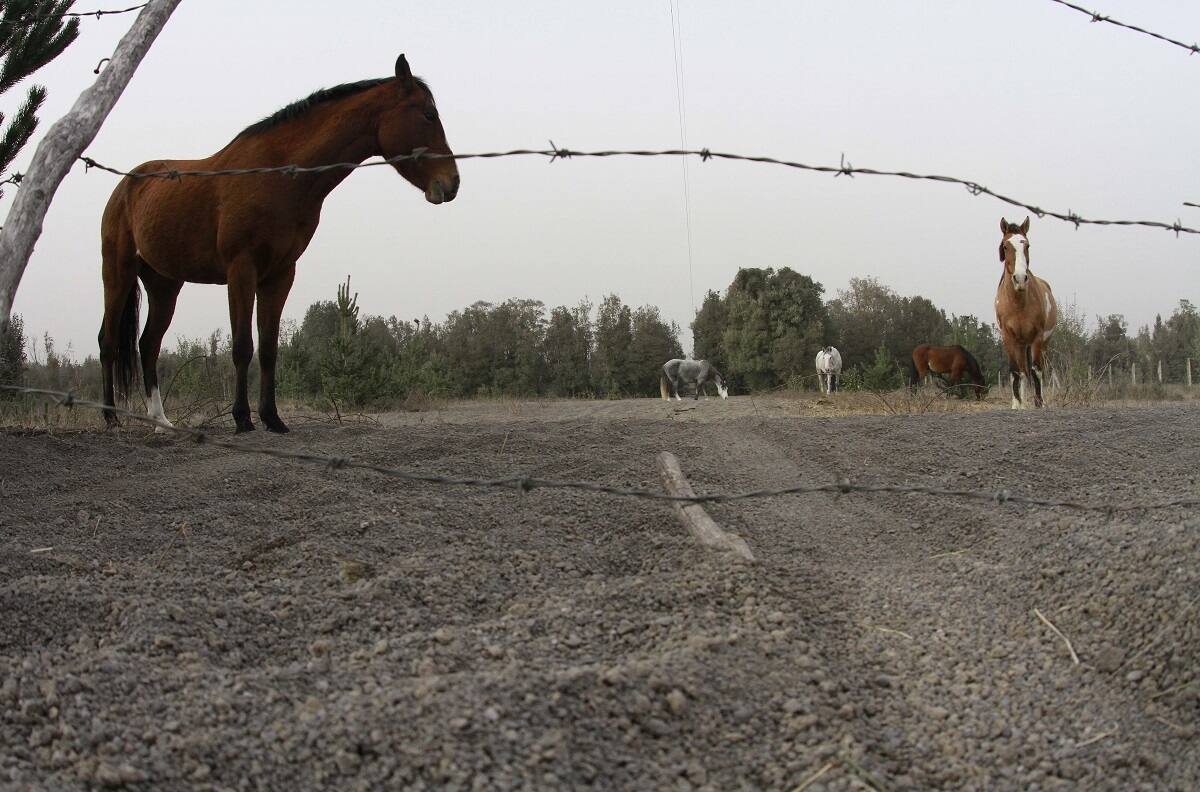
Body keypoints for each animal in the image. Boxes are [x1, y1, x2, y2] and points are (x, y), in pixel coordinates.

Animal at [99, 54, 459, 433]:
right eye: (428, 115)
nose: (451, 183)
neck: (277, 174)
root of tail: (126, 185)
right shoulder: (242, 269)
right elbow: (243, 346)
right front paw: (242, 418)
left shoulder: (280, 274)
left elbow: (269, 349)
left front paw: (272, 417)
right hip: (117, 273)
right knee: (108, 342)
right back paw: (111, 417)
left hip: (164, 284)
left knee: (148, 344)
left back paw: (160, 421)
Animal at [994, 216, 1057, 409]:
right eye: (1005, 246)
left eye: (1027, 245)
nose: (1020, 278)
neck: (1018, 303)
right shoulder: (1008, 338)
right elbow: (1016, 372)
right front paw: (1017, 405)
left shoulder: (1037, 337)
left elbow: (1036, 371)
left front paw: (1040, 404)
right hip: (1021, 345)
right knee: (1022, 371)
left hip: (1042, 344)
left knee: (1037, 369)